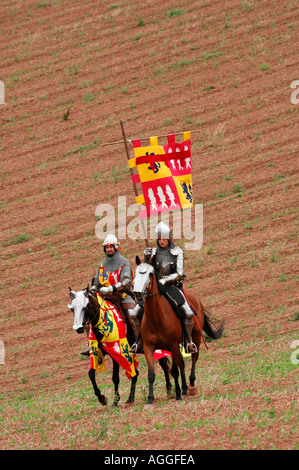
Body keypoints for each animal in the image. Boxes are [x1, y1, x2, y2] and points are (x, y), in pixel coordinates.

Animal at [134, 258, 225, 404]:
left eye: (150, 274)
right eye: (135, 273)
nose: (137, 293)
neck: (156, 317)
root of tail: (196, 299)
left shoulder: (173, 345)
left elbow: (174, 371)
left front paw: (177, 394)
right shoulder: (149, 346)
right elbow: (151, 373)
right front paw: (150, 398)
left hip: (195, 336)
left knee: (194, 357)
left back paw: (191, 386)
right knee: (182, 363)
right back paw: (184, 389)